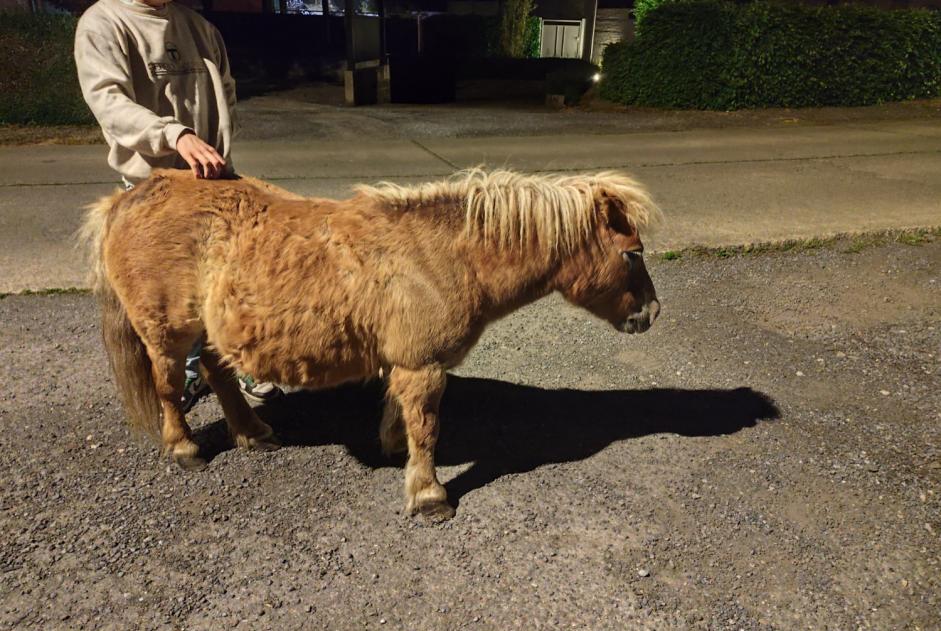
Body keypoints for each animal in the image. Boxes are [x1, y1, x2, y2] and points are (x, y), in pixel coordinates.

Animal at [82, 167, 662, 520]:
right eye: (632, 254)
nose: (652, 313)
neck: (444, 255)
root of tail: (128, 197)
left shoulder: (406, 362)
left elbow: (400, 412)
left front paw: (395, 448)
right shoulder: (424, 366)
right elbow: (427, 427)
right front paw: (428, 496)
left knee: (219, 373)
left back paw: (253, 434)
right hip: (167, 332)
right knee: (168, 385)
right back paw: (184, 448)